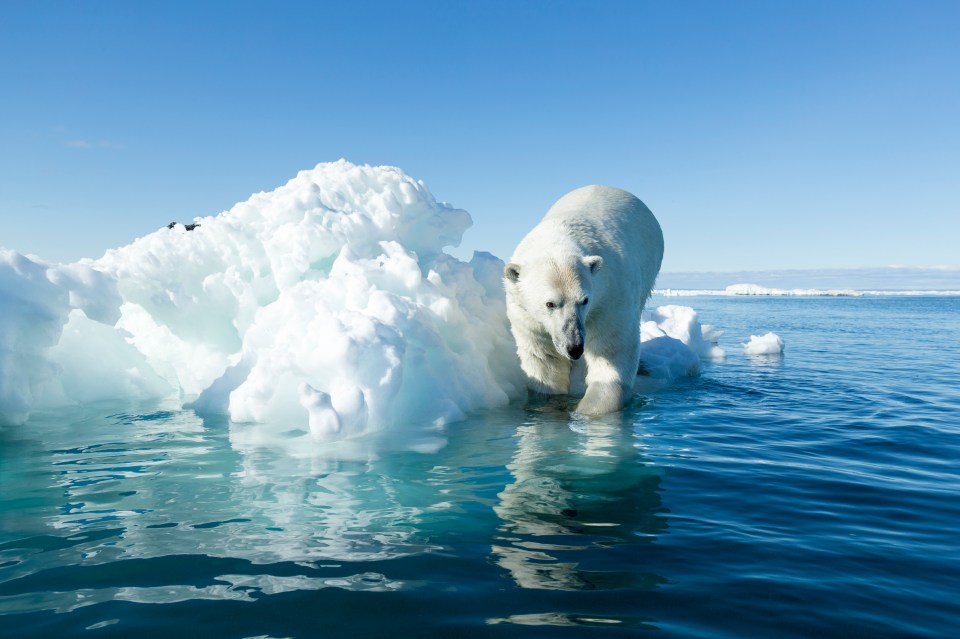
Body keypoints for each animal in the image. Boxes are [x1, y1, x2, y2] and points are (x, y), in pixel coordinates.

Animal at [506, 185, 664, 416]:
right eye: (550, 303)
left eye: (584, 300)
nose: (575, 347)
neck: (558, 234)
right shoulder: (527, 317)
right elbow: (545, 363)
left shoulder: (609, 299)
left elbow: (610, 355)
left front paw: (588, 410)